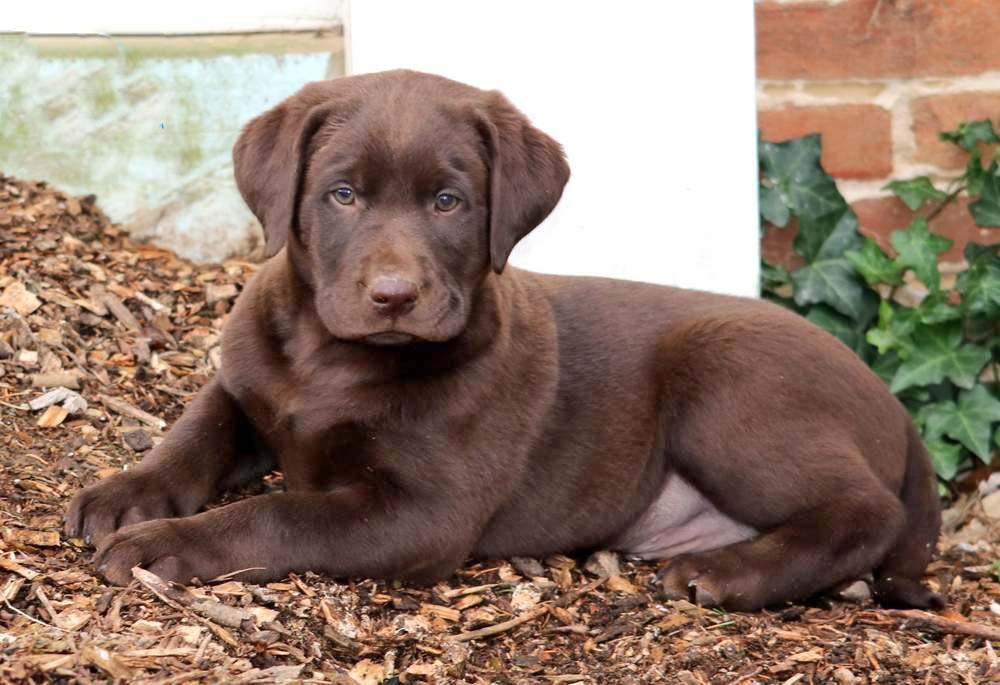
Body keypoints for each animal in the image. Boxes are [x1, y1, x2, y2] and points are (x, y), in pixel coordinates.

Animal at [66, 71, 940, 608]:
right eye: (341, 194)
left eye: (448, 201)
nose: (394, 296)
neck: (330, 358)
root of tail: (898, 406)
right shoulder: (246, 384)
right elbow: (196, 430)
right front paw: (126, 494)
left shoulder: (421, 513)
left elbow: (278, 513)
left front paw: (162, 546)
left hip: (729, 379)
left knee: (867, 511)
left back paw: (728, 573)